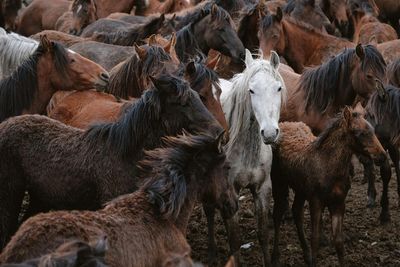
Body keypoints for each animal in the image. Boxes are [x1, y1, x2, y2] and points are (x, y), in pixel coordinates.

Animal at [0, 74, 222, 251]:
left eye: (198, 97)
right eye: (182, 102)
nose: (219, 131)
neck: (126, 155)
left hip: (39, 198)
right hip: (11, 195)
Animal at [205, 49, 286, 266]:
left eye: (278, 88)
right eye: (251, 91)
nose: (269, 133)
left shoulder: (263, 188)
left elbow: (263, 234)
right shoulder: (231, 190)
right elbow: (234, 239)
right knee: (208, 212)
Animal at [270, 103, 386, 266]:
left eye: (373, 131)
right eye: (359, 133)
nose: (382, 156)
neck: (330, 167)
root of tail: (284, 123)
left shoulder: (338, 202)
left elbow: (338, 241)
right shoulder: (316, 201)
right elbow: (315, 239)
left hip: (300, 189)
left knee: (296, 212)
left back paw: (306, 255)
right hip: (278, 182)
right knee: (278, 214)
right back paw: (275, 257)